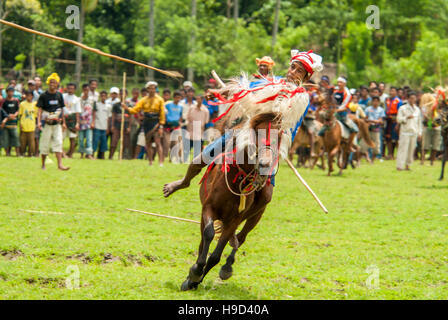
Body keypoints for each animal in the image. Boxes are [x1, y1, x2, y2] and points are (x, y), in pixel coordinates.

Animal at [180, 112, 282, 290]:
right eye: (257, 135)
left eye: (277, 139)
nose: (265, 164)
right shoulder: (208, 208)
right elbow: (208, 234)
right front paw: (195, 272)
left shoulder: (234, 220)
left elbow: (215, 256)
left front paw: (196, 278)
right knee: (204, 241)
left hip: (256, 215)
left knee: (240, 238)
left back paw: (227, 266)